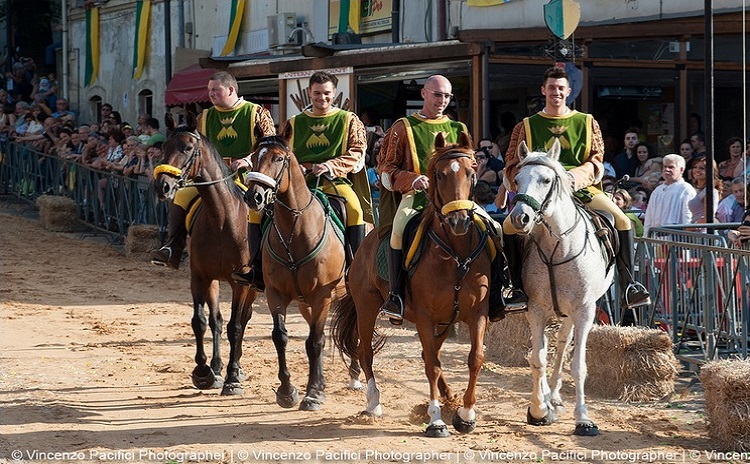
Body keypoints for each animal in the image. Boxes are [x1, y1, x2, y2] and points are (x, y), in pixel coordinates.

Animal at [154, 119, 258, 396]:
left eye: (188, 148)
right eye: (164, 146)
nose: (162, 186)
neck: (222, 219)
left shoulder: (240, 284)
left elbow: (235, 326)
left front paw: (232, 378)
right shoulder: (200, 277)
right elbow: (201, 321)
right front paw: (203, 372)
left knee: (242, 320)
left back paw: (235, 369)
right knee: (216, 321)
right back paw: (218, 367)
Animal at [242, 125, 356, 412]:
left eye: (279, 158)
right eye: (254, 157)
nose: (254, 197)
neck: (296, 232)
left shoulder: (322, 296)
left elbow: (315, 342)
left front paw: (312, 394)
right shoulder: (276, 294)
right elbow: (280, 337)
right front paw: (287, 391)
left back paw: (355, 375)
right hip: (305, 303)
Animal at [330, 132, 494, 436]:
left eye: (472, 172)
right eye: (439, 175)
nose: (458, 220)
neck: (456, 255)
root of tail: (366, 241)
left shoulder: (476, 313)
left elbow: (474, 357)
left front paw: (465, 414)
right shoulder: (425, 316)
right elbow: (431, 365)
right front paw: (436, 420)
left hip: (442, 321)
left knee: (431, 353)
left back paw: (449, 397)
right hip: (368, 307)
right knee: (366, 352)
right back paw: (373, 403)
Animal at [508, 138, 612, 436]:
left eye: (546, 180)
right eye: (517, 179)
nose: (520, 218)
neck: (558, 249)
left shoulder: (585, 311)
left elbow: (578, 366)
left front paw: (583, 419)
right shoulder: (536, 310)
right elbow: (537, 359)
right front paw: (538, 410)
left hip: (571, 313)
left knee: (564, 343)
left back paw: (554, 395)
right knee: (551, 347)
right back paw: (547, 397)